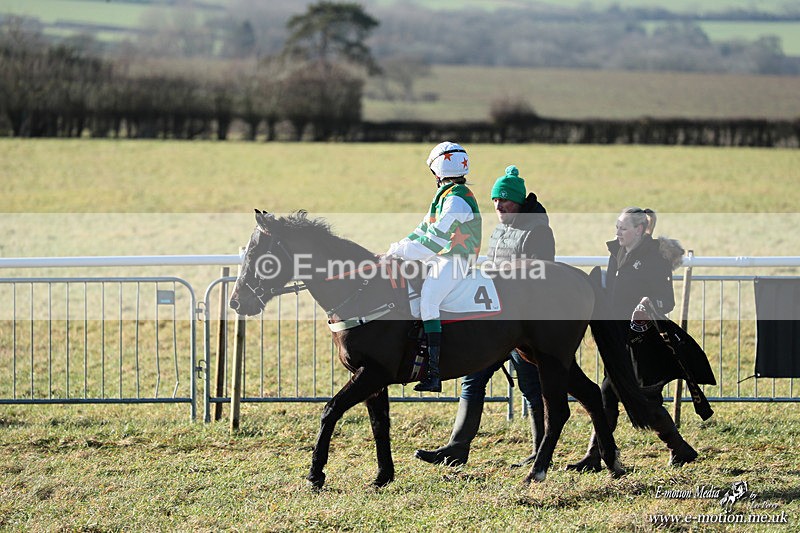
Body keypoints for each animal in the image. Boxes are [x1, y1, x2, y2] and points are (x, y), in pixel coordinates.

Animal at [229, 210, 650, 489]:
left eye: (261, 256)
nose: (236, 302)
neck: (365, 290)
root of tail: (579, 275)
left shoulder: (372, 374)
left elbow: (330, 411)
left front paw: (316, 473)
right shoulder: (372, 379)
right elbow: (380, 425)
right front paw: (382, 476)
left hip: (551, 359)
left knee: (559, 410)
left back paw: (538, 469)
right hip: (545, 356)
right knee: (592, 396)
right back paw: (611, 463)